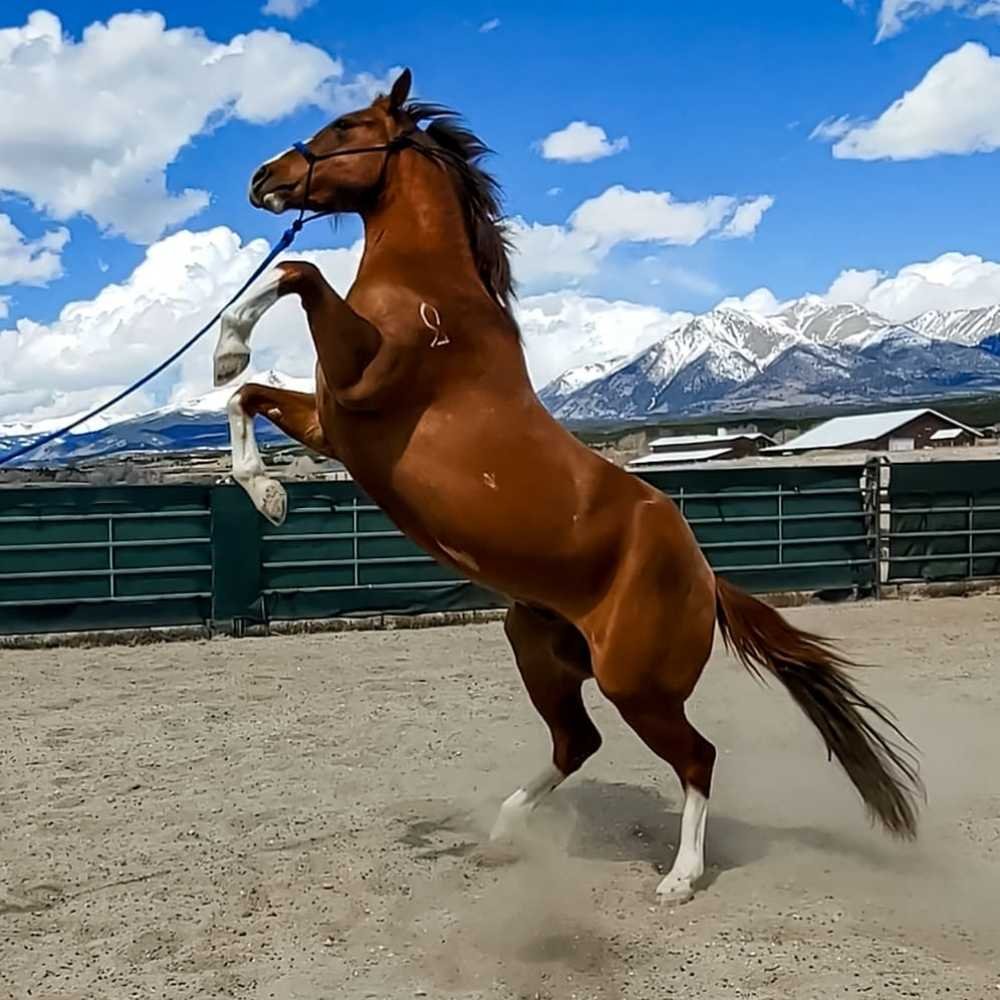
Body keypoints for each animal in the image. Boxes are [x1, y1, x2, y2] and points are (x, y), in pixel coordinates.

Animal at [212, 69, 922, 902]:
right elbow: (246, 396)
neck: (431, 291)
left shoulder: (365, 378)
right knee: (577, 741)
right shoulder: (333, 421)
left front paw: (227, 346)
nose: (262, 178)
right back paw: (503, 831)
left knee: (696, 756)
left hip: (635, 681)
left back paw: (680, 877)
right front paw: (266, 492)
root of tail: (707, 578)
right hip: (539, 648)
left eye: (347, 126)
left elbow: (297, 276)